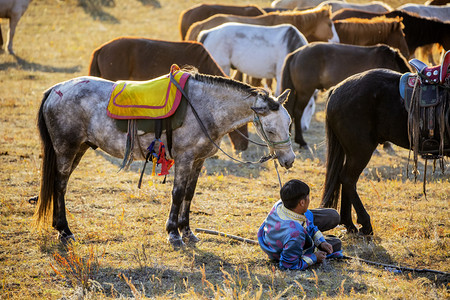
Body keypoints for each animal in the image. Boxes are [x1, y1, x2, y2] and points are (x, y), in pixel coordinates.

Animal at [320, 68, 450, 234]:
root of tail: (336, 89)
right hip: (360, 151)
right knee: (348, 179)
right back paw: (365, 224)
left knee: (344, 178)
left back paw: (349, 224)